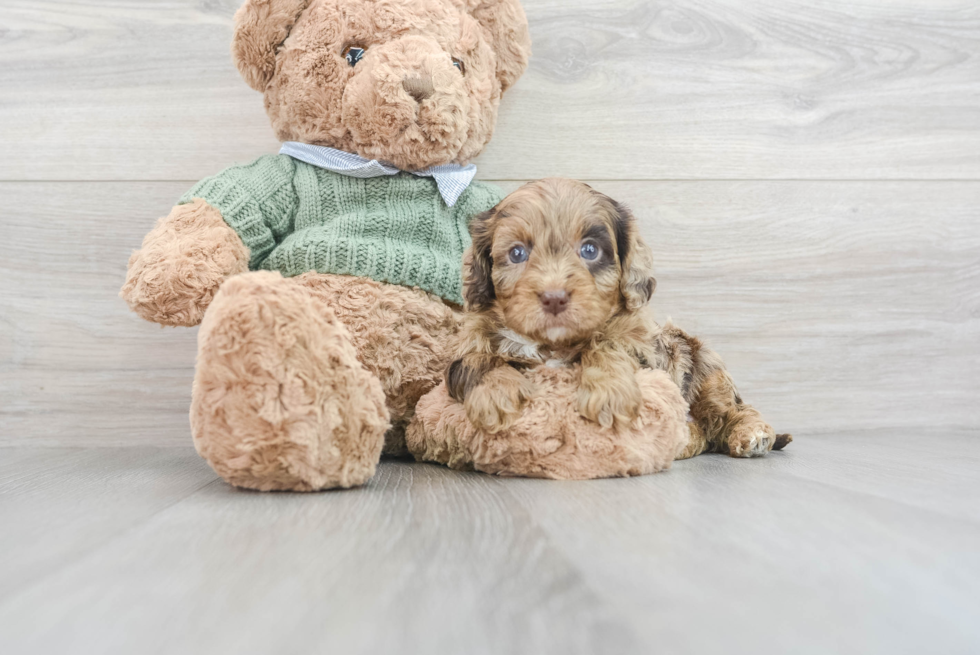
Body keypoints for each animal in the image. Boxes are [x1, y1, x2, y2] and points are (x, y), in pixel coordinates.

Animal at [444, 177, 788, 458]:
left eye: (590, 250)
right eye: (517, 253)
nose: (554, 297)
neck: (555, 345)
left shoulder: (643, 347)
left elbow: (608, 344)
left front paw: (610, 394)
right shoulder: (466, 345)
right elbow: (479, 360)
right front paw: (495, 395)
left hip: (705, 368)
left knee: (730, 411)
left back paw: (752, 433)